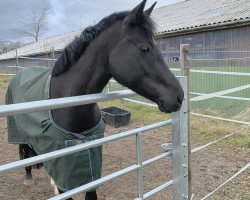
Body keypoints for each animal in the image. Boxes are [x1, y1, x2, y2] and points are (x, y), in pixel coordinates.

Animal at [6, 0, 184, 199]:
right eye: (145, 48)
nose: (179, 95)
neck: (68, 104)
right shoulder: (64, 167)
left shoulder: (91, 166)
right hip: (19, 132)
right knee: (24, 150)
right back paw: (28, 177)